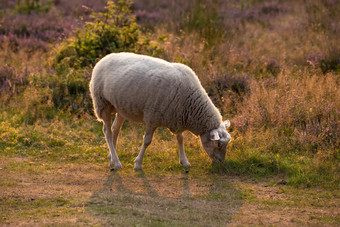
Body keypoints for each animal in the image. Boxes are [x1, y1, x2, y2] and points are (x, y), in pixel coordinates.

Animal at [89, 52, 231, 170]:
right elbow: (147, 141)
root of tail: (104, 58)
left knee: (115, 130)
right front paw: (138, 163)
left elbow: (180, 139)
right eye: (219, 144)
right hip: (102, 103)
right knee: (107, 132)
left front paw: (184, 161)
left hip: (120, 107)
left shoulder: (177, 116)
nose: (221, 162)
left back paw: (111, 159)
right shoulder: (152, 117)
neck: (190, 103)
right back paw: (117, 163)